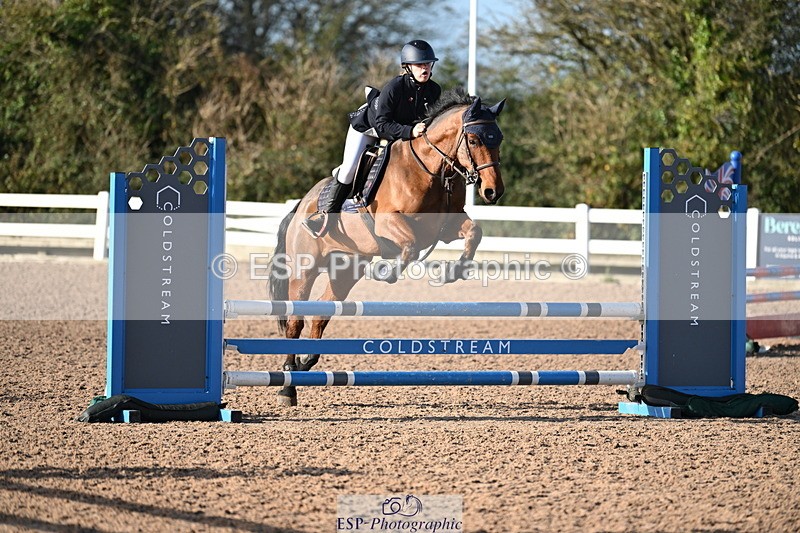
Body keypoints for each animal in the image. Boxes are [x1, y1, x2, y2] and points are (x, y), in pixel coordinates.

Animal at [268, 88, 506, 405]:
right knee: (295, 320)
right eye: (474, 140)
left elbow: (474, 233)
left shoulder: (445, 227)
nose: (493, 192)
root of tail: (300, 207)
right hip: (304, 268)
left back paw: (306, 363)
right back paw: (287, 386)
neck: (431, 168)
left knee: (321, 312)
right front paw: (387, 273)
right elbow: (410, 246)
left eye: (498, 139)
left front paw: (452, 273)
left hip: (346, 270)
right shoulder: (389, 223)